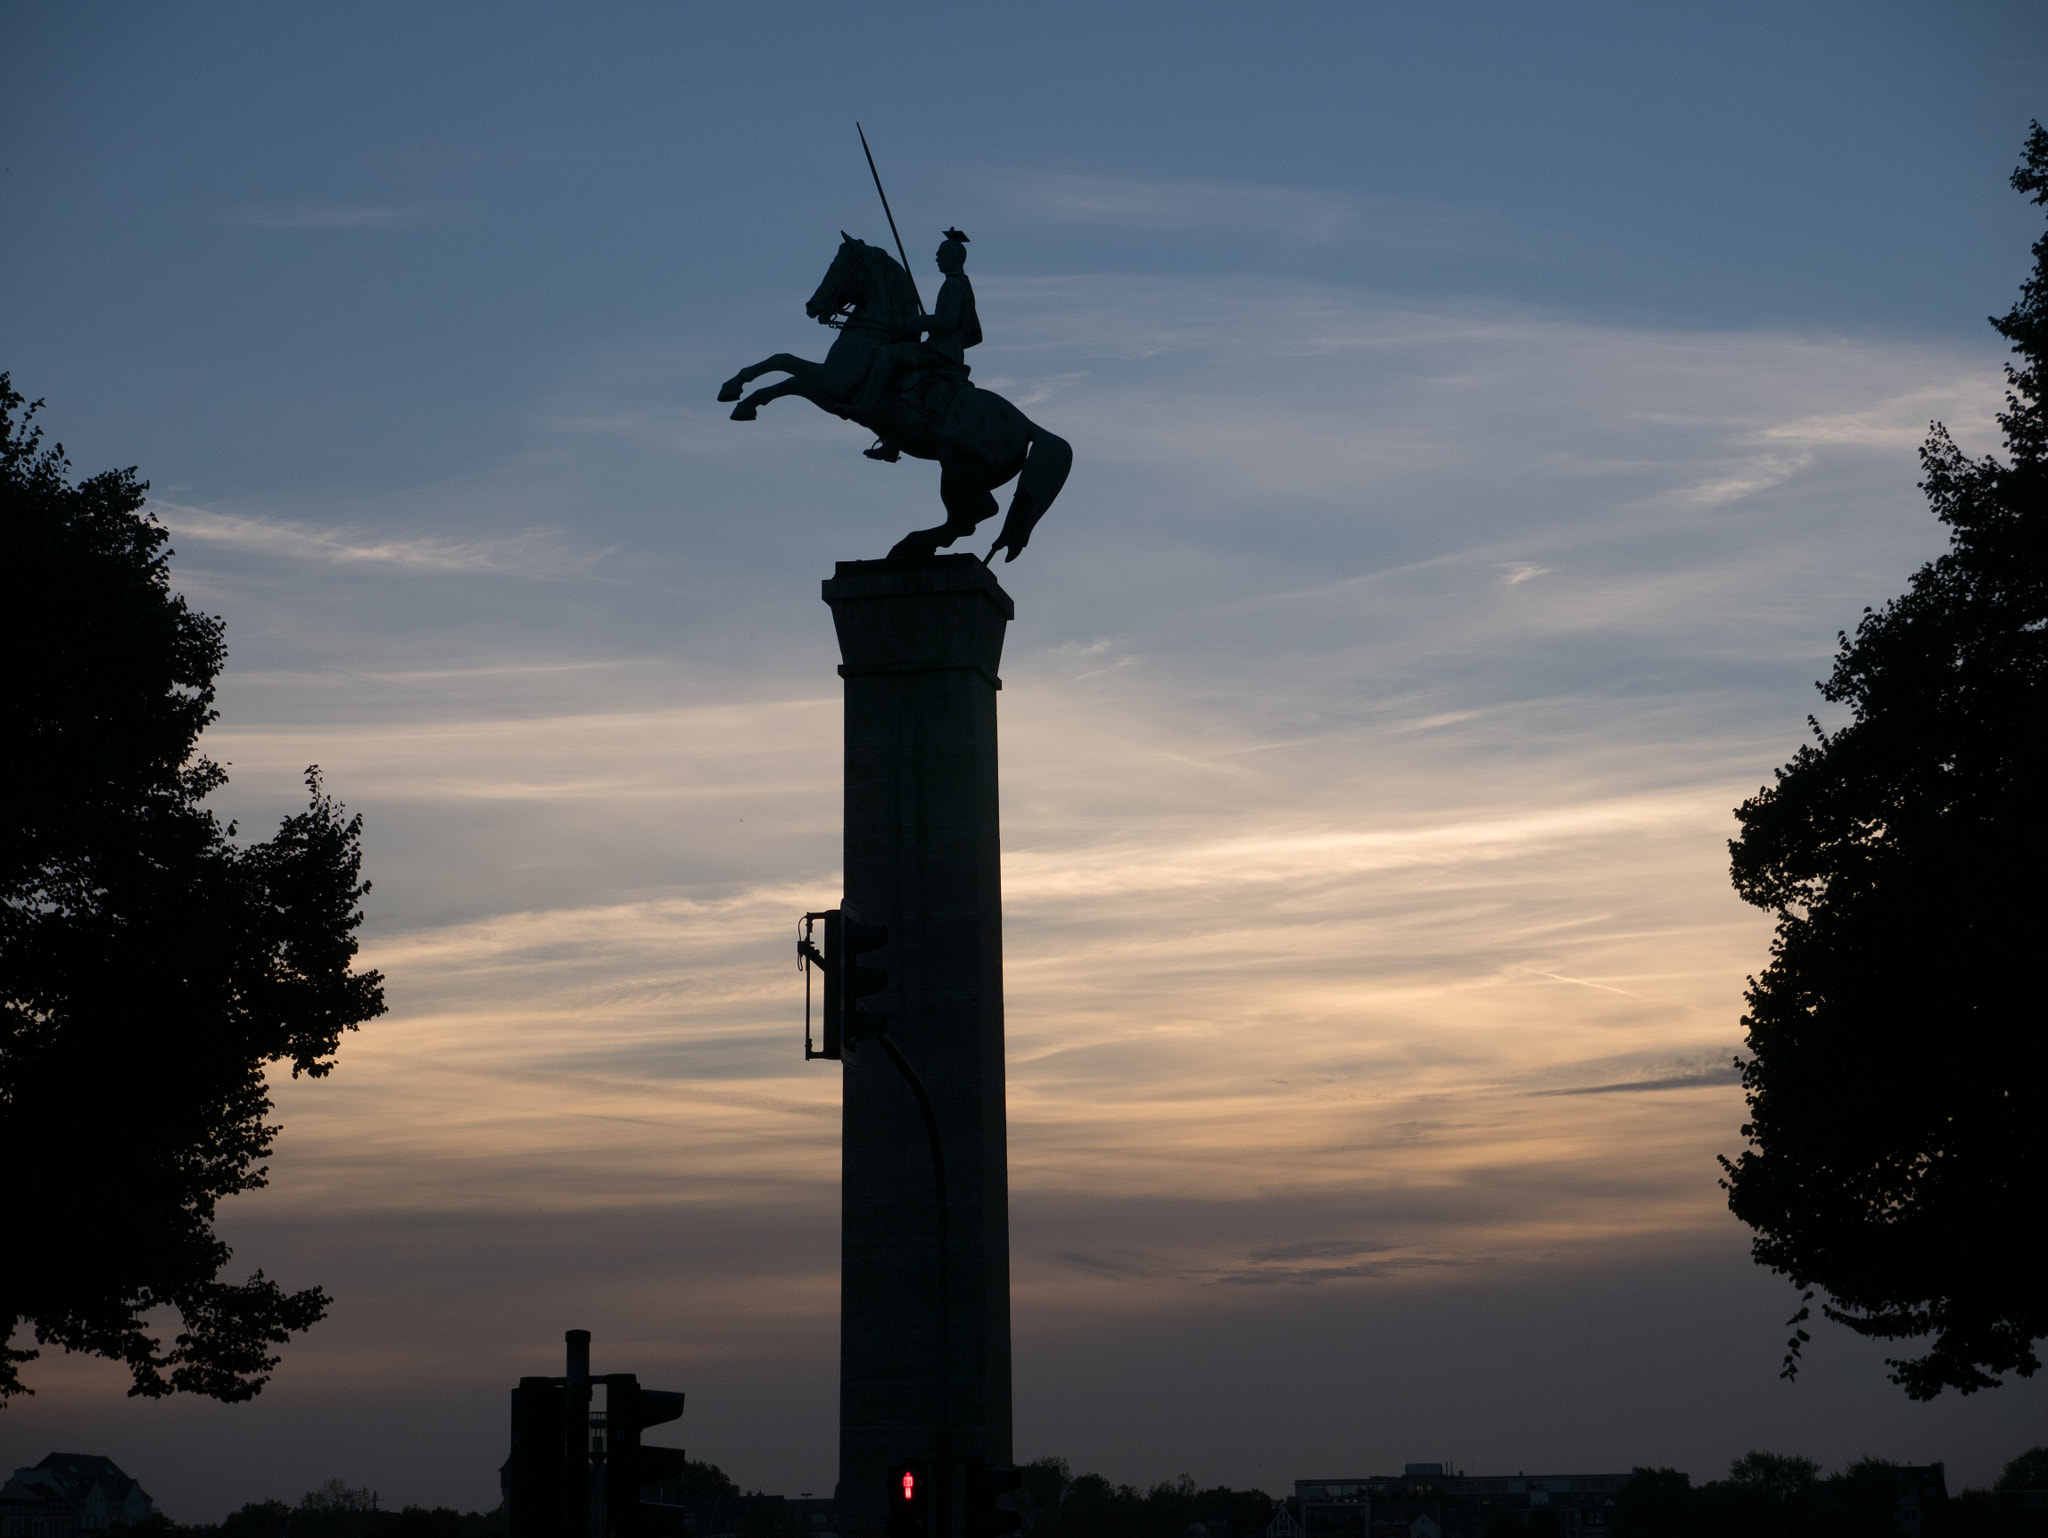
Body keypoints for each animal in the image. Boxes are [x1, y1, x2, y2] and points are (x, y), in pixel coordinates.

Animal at [716, 234, 1073, 561]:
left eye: (838, 267)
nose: (812, 307)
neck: (874, 333)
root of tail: (1028, 425)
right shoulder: (828, 391)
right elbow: (786, 379)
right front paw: (743, 400)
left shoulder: (833, 383)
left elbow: (782, 361)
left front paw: (735, 392)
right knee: (966, 518)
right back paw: (914, 544)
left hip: (958, 467)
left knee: (979, 511)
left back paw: (914, 543)